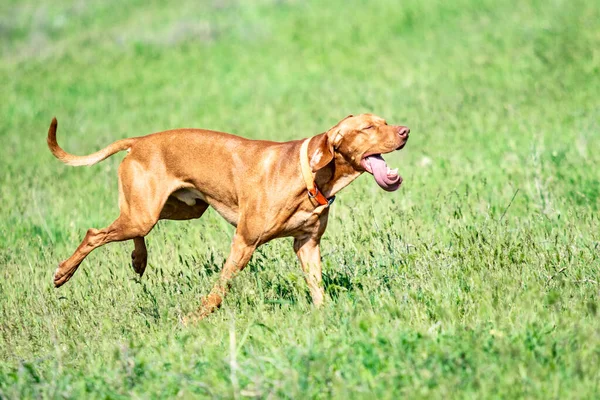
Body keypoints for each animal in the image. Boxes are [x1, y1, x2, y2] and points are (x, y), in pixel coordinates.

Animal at [49, 113, 410, 322]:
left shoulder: (306, 245)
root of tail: (139, 142)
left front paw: (325, 317)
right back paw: (64, 273)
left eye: (385, 120)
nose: (405, 131)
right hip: (145, 213)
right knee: (95, 233)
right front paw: (196, 318)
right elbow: (219, 289)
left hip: (180, 209)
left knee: (131, 230)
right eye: (367, 128)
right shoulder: (244, 242)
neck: (309, 174)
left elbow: (317, 287)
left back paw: (139, 260)